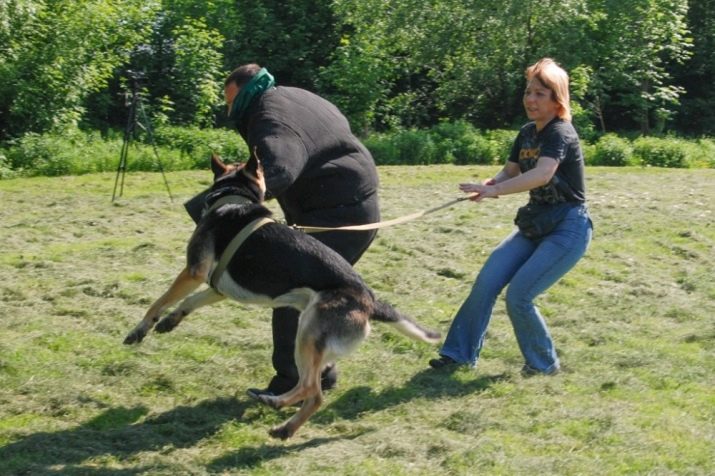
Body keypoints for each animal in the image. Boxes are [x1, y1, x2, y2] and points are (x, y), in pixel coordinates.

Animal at [123, 153, 441, 439]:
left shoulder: (194, 272)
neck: (234, 198)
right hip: (313, 345)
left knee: (313, 391)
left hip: (306, 334)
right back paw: (277, 411)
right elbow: (188, 303)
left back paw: (280, 418)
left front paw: (139, 330)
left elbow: (159, 301)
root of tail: (370, 301)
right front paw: (170, 321)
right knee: (310, 387)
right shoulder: (217, 287)